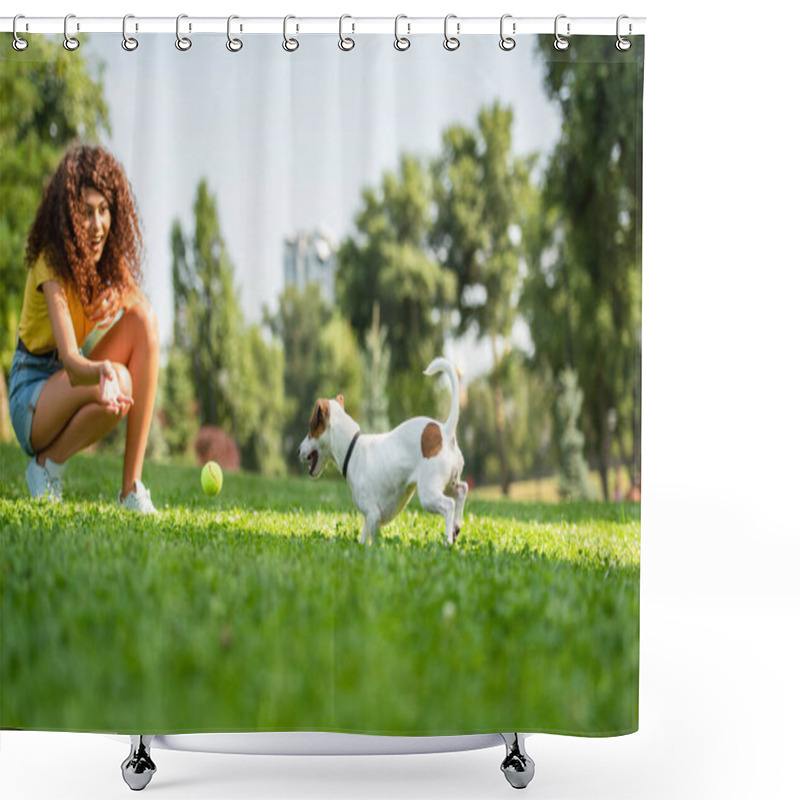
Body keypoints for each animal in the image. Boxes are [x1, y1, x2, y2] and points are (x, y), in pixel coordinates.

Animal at [300, 360, 468, 548]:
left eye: (311, 430)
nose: (298, 450)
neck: (352, 447)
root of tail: (445, 431)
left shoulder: (373, 515)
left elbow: (373, 540)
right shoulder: (368, 518)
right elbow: (363, 539)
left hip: (428, 493)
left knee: (449, 505)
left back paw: (447, 541)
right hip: (448, 484)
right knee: (462, 490)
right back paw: (456, 527)